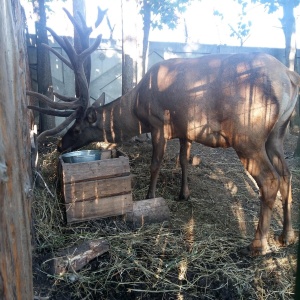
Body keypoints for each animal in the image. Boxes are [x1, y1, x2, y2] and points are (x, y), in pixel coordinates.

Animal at [27, 11, 298, 255]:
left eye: (77, 127)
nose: (60, 145)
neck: (136, 109)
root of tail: (289, 76)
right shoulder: (186, 129)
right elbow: (183, 161)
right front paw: (183, 194)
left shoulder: (158, 123)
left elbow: (155, 163)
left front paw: (150, 196)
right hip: (277, 133)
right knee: (286, 174)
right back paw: (286, 235)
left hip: (247, 136)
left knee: (270, 180)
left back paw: (258, 245)